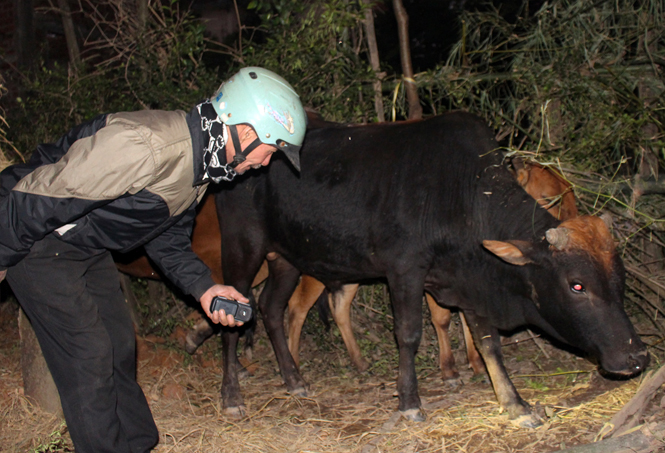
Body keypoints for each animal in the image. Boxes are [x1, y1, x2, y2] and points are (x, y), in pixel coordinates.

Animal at [218, 111, 648, 426]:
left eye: (621, 280)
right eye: (577, 285)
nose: (638, 357)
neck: (466, 195)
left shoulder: (471, 279)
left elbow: (488, 342)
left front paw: (516, 404)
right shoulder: (405, 269)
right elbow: (409, 334)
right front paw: (410, 401)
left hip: (286, 259)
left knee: (272, 309)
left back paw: (294, 380)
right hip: (243, 248)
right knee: (233, 315)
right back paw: (232, 396)